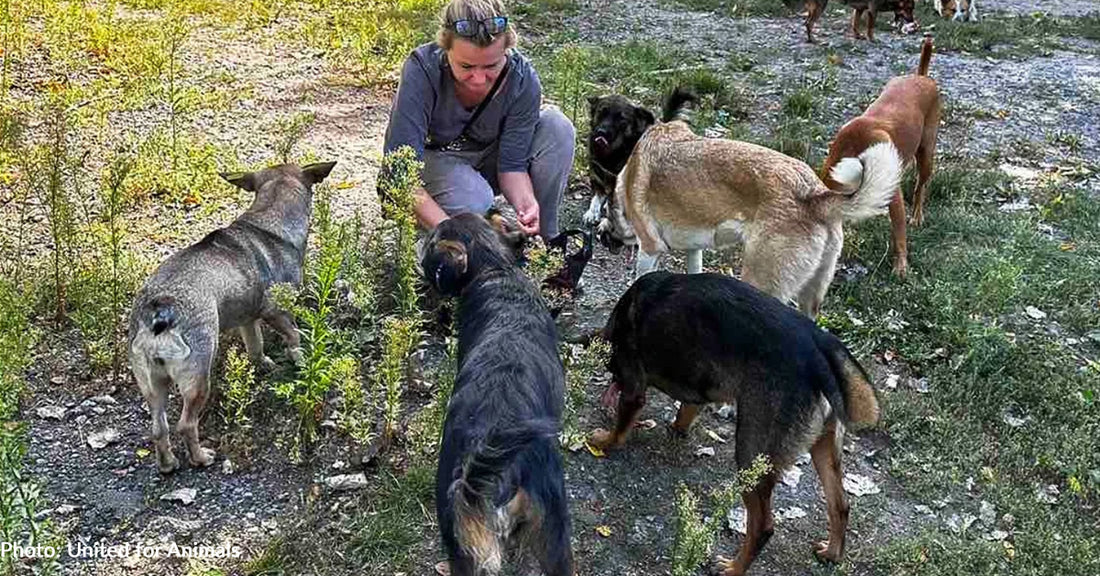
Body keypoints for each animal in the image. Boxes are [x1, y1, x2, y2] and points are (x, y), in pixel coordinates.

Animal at [589, 270, 880, 576]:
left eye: (614, 371)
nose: (611, 385)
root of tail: (818, 348)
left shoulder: (633, 386)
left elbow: (621, 426)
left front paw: (605, 440)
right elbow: (688, 408)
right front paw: (678, 427)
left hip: (751, 456)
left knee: (763, 526)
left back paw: (734, 567)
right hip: (824, 449)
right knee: (841, 505)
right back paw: (832, 552)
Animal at [602, 87, 902, 316]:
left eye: (606, 214)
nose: (603, 239)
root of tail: (815, 195)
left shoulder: (649, 249)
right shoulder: (694, 249)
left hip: (761, 282)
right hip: (811, 294)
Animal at [783, 0, 919, 42]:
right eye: (909, 8)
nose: (912, 20)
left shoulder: (859, 10)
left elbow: (855, 24)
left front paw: (858, 36)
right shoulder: (872, 12)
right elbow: (870, 28)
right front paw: (872, 39)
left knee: (807, 23)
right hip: (821, 7)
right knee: (808, 24)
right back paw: (813, 40)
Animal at [822, 34, 941, 278]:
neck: (851, 150)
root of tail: (921, 76)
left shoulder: (894, 197)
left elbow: (899, 236)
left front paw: (901, 266)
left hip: (926, 155)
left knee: (920, 186)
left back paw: (917, 215)